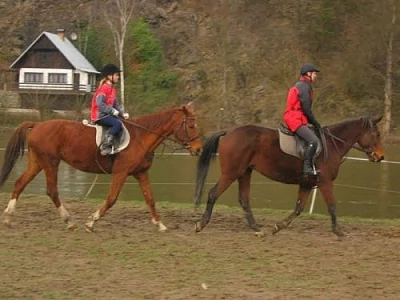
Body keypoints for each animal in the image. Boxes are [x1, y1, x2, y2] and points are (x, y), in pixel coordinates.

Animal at [0, 103, 202, 232]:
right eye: (191, 125)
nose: (199, 149)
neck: (140, 137)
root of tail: (38, 124)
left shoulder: (140, 173)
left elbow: (150, 199)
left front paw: (160, 225)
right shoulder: (121, 173)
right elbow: (112, 199)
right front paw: (91, 222)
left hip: (37, 163)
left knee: (20, 184)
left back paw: (8, 217)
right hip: (51, 163)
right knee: (52, 191)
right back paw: (69, 221)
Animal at [194, 116, 384, 236]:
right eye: (377, 134)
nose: (380, 157)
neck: (332, 144)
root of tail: (229, 132)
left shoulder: (307, 183)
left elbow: (298, 208)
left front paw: (278, 227)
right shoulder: (325, 182)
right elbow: (332, 205)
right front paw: (338, 231)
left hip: (244, 173)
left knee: (244, 199)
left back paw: (256, 228)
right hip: (231, 173)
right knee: (213, 193)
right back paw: (201, 224)